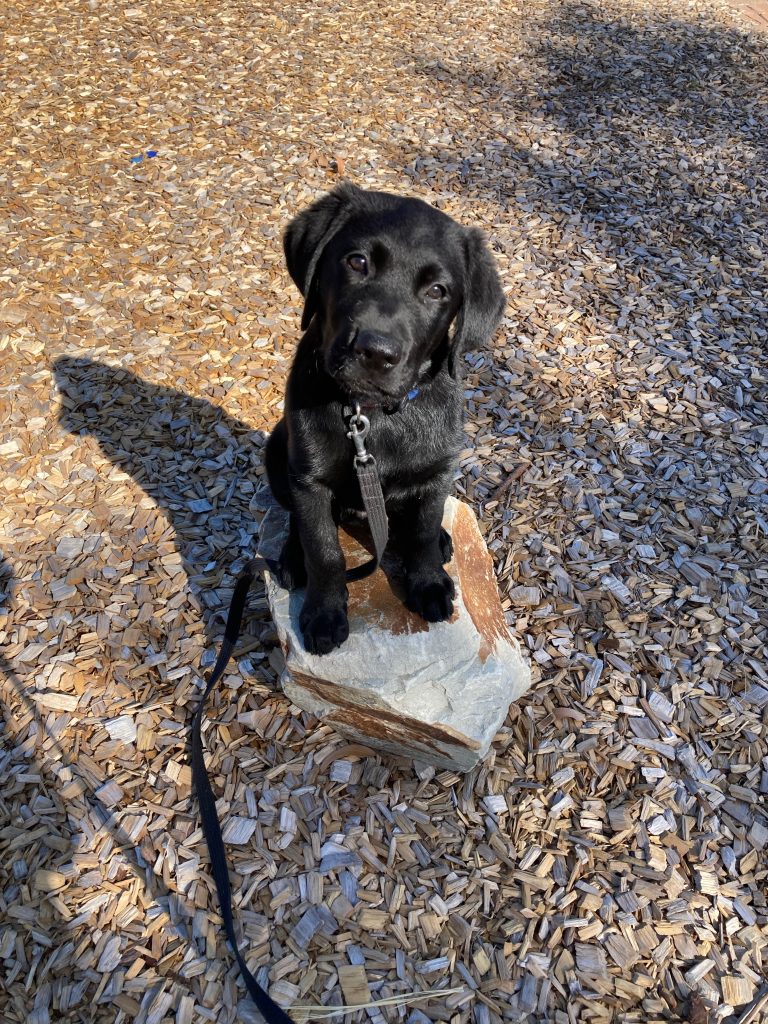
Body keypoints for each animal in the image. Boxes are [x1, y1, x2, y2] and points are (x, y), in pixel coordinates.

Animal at [264, 184, 505, 655]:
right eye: (357, 262)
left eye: (437, 290)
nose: (376, 352)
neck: (372, 416)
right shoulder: (310, 480)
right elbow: (324, 549)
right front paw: (324, 613)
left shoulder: (437, 472)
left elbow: (424, 532)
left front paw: (428, 583)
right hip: (277, 451)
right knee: (297, 522)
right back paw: (291, 558)